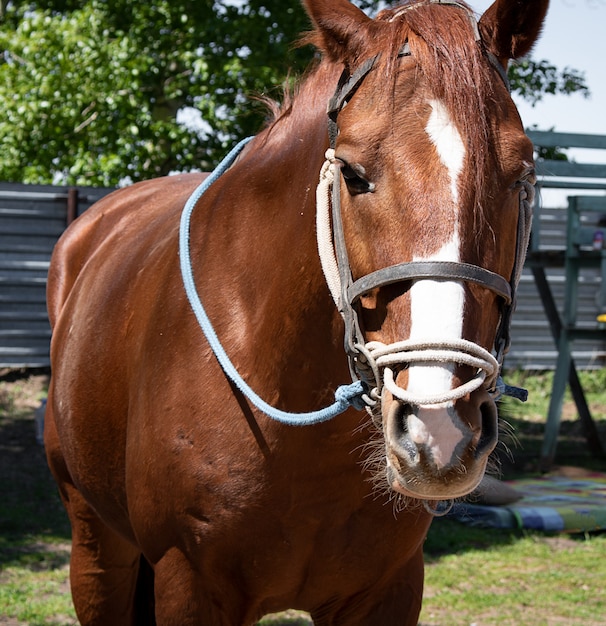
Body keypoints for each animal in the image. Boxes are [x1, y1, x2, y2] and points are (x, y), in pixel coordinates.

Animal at [46, 2, 552, 620]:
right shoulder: (187, 585)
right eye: (353, 174)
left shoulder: (388, 589)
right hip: (95, 546)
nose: (439, 424)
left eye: (522, 174)